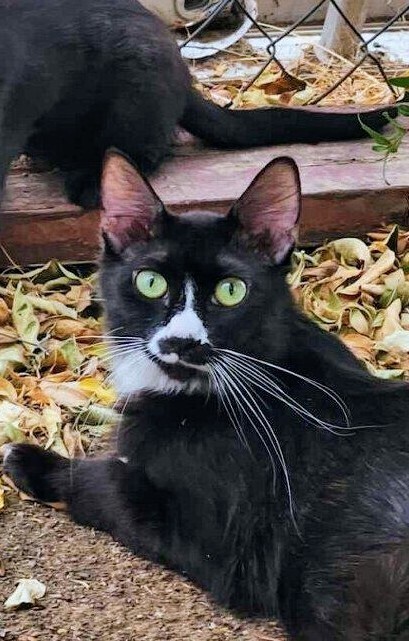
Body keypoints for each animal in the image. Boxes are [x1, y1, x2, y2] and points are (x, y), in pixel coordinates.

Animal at [3, 151, 408, 640]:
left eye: (231, 291)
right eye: (150, 282)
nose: (182, 341)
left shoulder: (217, 546)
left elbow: (109, 480)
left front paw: (29, 459)